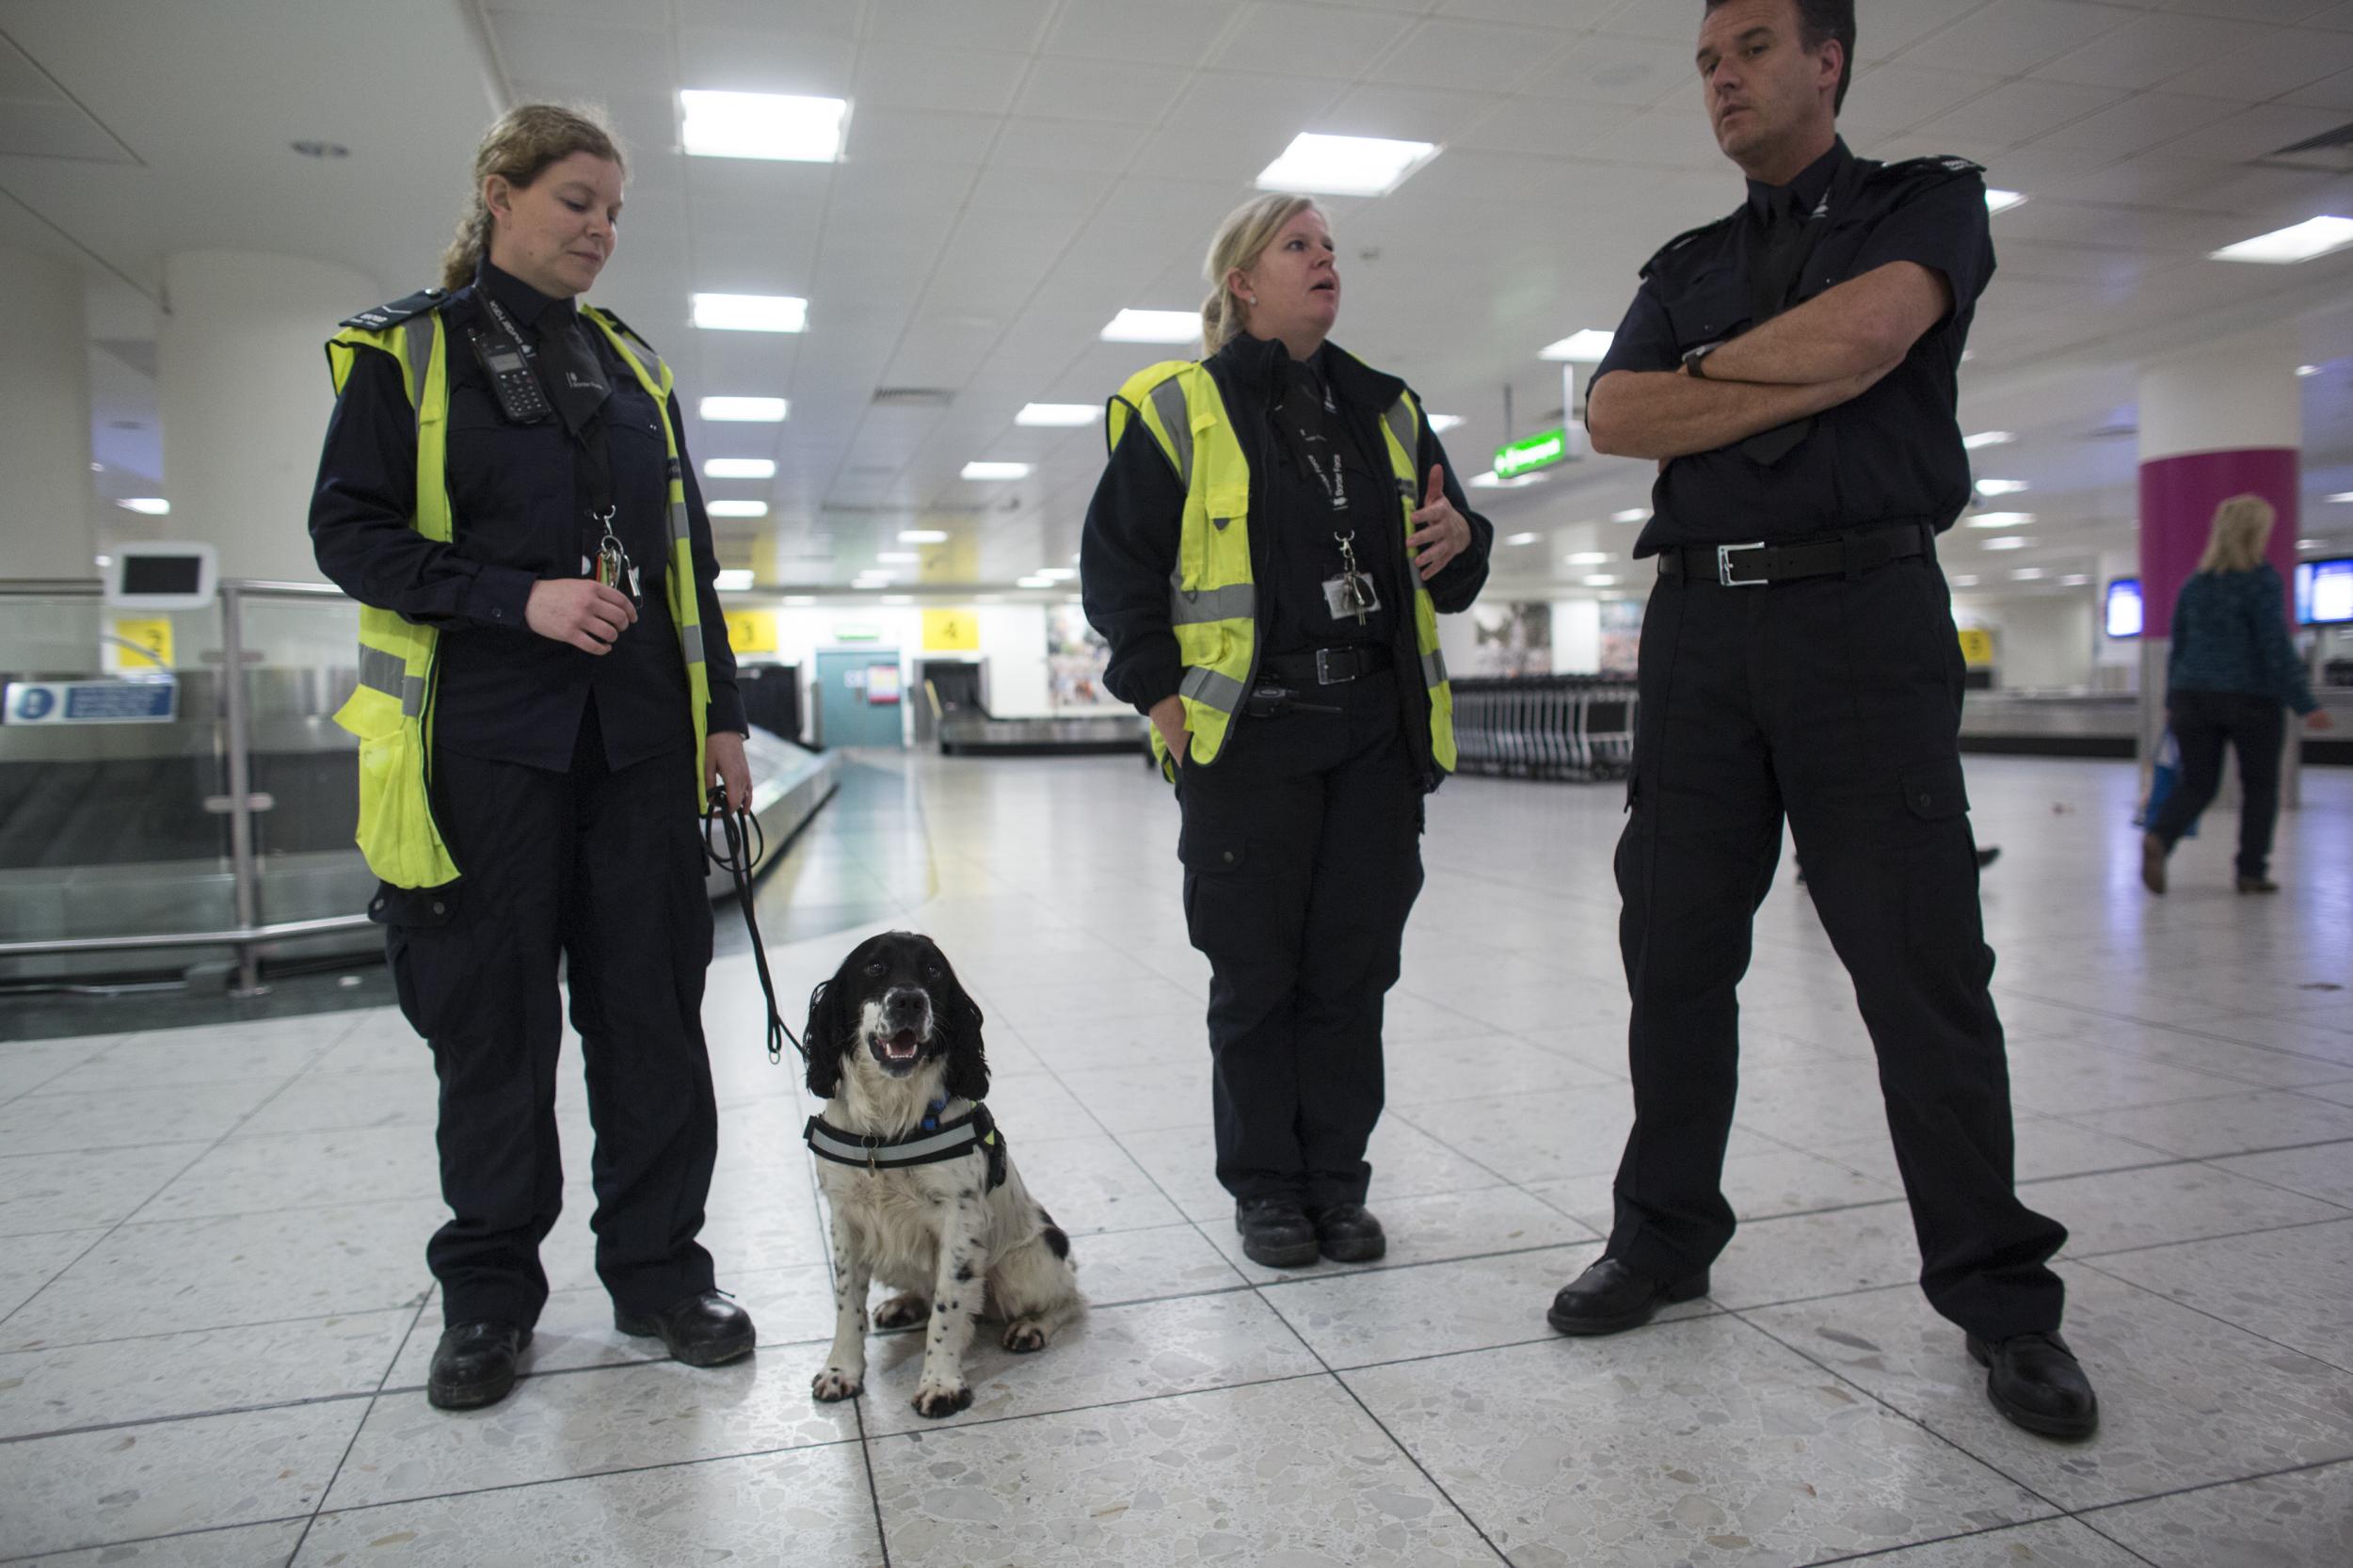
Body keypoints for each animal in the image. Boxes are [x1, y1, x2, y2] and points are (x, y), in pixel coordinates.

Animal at [795, 927, 1078, 1412]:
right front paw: (840, 1371)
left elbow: (949, 1304)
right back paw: (903, 1304)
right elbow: (847, 1302)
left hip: (1027, 1261)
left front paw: (941, 1383)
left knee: (1070, 1295)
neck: (886, 1130)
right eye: (874, 967)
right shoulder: (845, 1216)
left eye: (933, 971)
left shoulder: (958, 1218)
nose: (909, 1000)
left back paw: (1031, 1327)